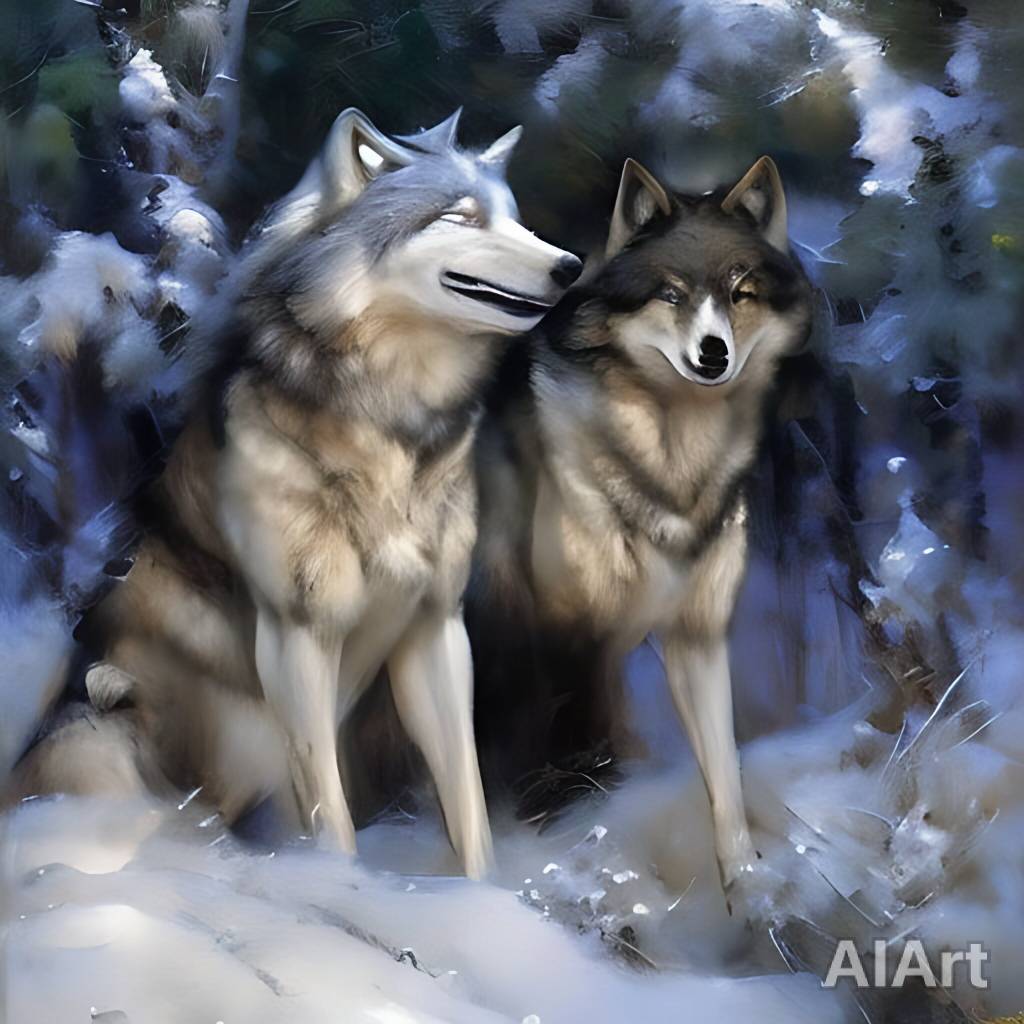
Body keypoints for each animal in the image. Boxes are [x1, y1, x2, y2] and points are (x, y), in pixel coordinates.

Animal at [78, 107, 582, 879]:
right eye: (461, 217)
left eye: (517, 221)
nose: (571, 265)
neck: (388, 420)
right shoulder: (297, 636)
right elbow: (330, 814)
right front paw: (345, 894)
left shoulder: (434, 626)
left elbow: (466, 802)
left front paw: (482, 900)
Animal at [470, 155, 812, 893]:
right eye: (671, 295)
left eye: (741, 293)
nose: (713, 354)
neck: (671, 468)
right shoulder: (569, 643)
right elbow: (583, 779)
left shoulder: (696, 636)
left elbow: (725, 776)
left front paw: (748, 890)